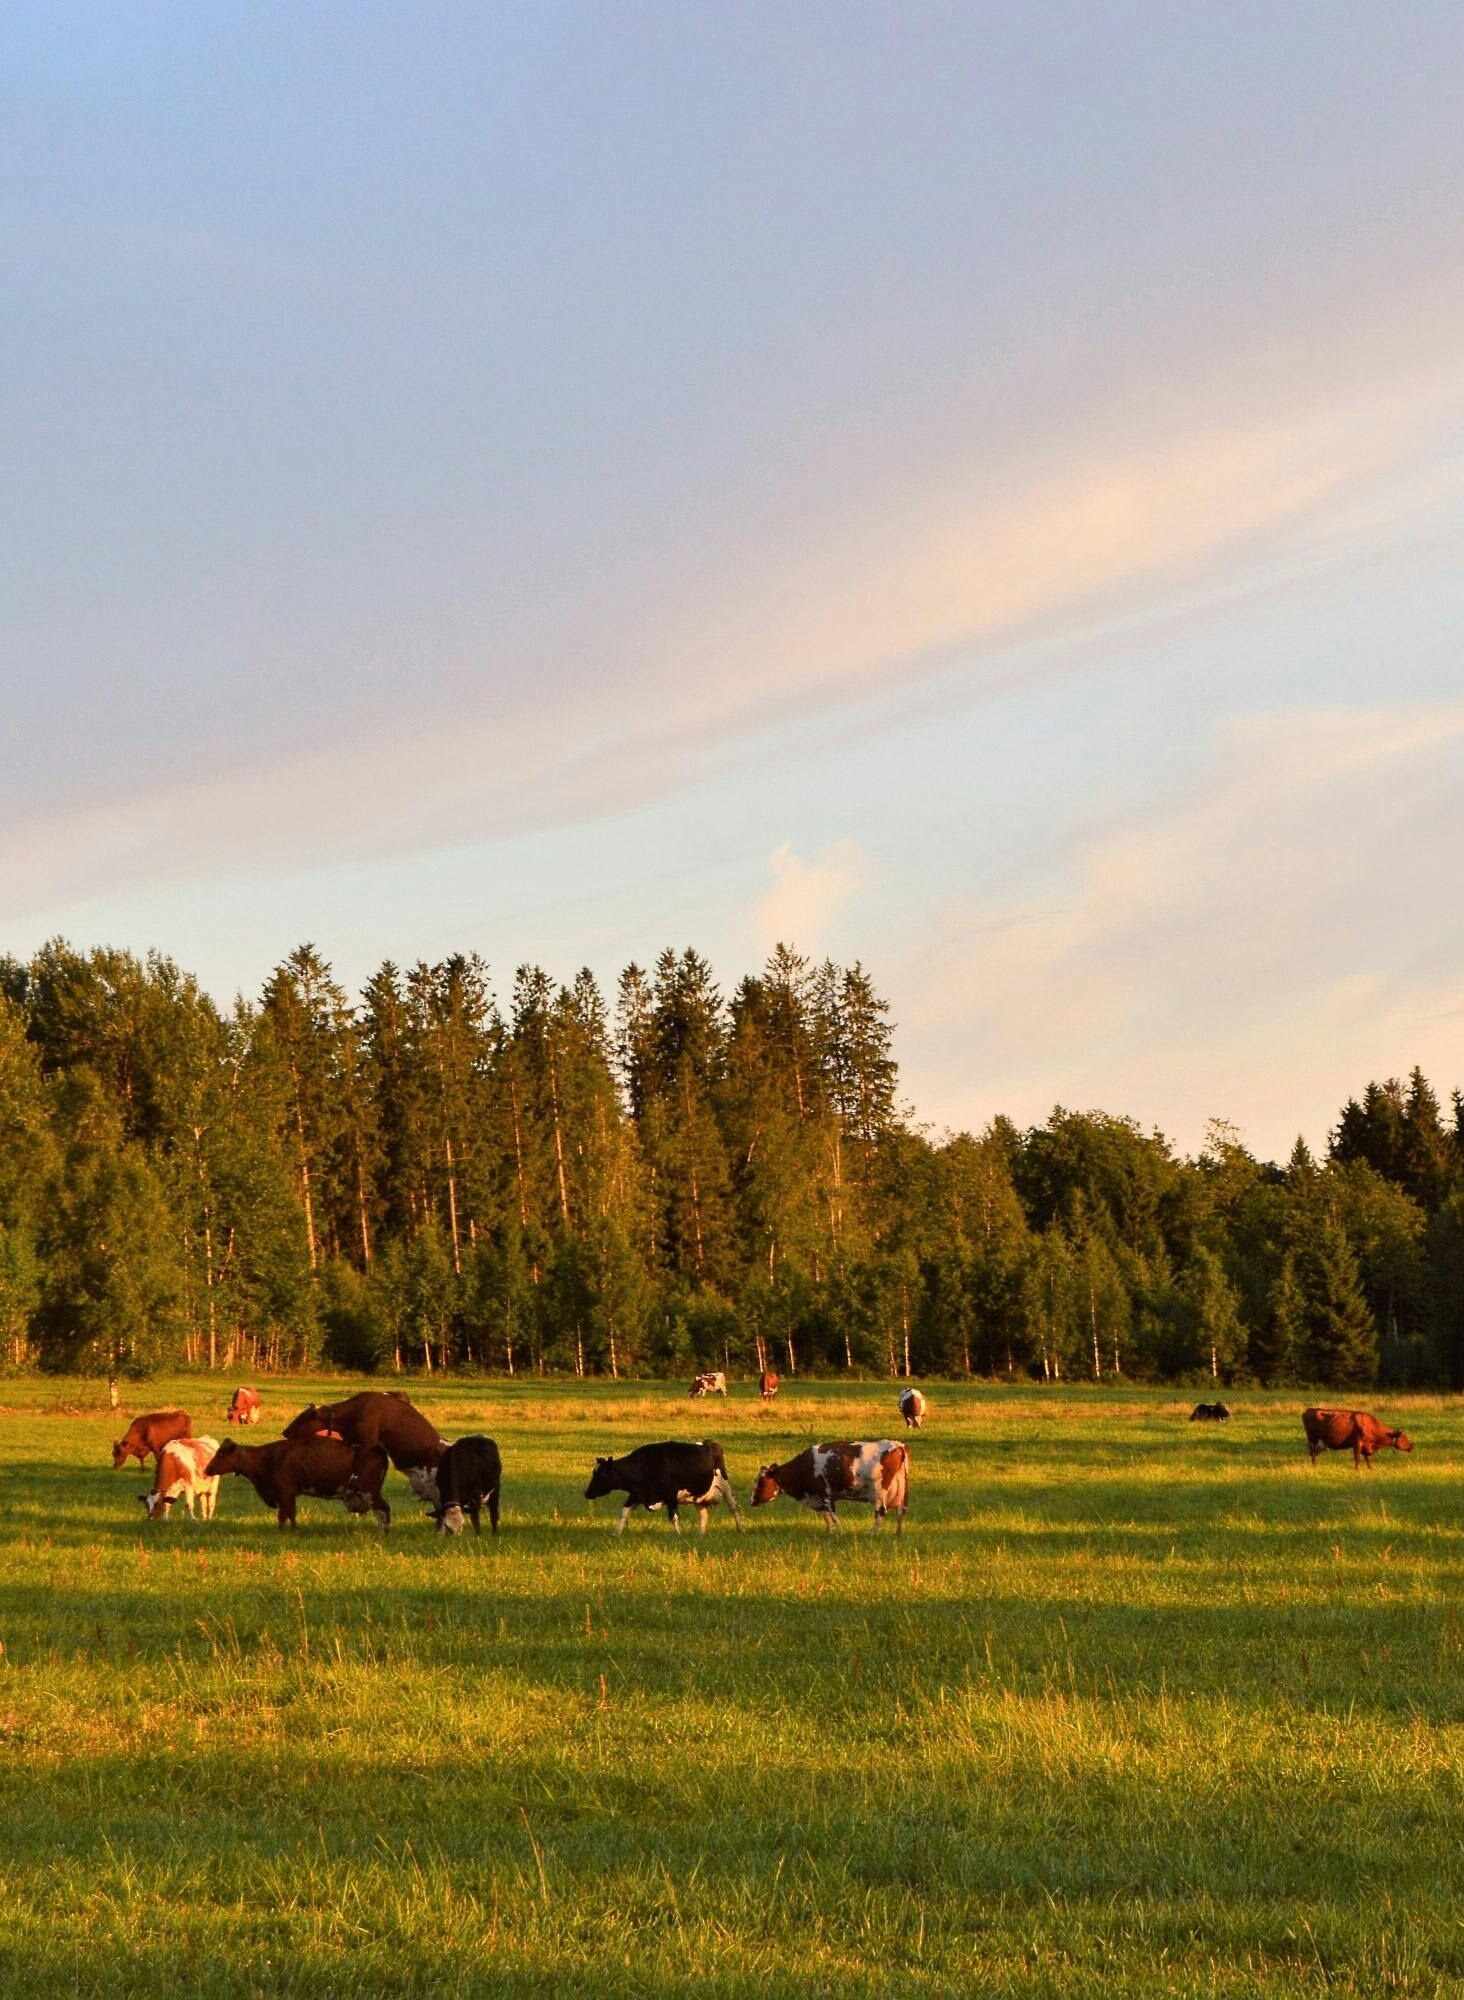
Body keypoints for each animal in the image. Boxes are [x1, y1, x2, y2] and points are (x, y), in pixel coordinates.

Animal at [206, 1440, 392, 1528]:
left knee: (383, 1510)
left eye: (221, 1454)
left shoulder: (284, 1492)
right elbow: (291, 1514)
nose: (207, 1469)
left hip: (369, 1490)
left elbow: (283, 1516)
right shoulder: (290, 1495)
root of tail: (378, 1450)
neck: (267, 1457)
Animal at [584, 1440, 744, 1528]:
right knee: (704, 1515)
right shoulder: (636, 1494)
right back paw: (701, 1535)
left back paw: (740, 1529)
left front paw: (678, 1536)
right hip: (699, 1495)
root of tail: (708, 1442)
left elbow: (673, 1517)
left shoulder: (671, 1494)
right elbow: (623, 1513)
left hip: (725, 1486)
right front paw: (616, 1534)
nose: (587, 1493)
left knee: (734, 1508)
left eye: (601, 1475)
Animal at [748, 1440, 908, 1528]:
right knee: (901, 1511)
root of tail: (897, 1445)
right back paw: (897, 1533)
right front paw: (830, 1533)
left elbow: (834, 1517)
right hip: (901, 1491)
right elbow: (828, 1518)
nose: (751, 1502)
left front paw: (840, 1534)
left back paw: (873, 1533)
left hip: (878, 1492)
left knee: (880, 1512)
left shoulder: (825, 1496)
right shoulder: (820, 1497)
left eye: (761, 1483)